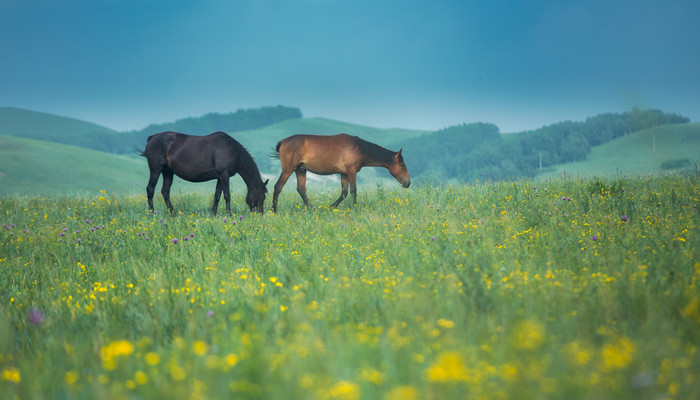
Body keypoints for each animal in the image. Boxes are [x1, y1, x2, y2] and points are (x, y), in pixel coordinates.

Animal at [138, 131, 268, 214]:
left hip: (168, 172)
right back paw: (152, 213)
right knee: (150, 189)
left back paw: (173, 213)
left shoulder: (220, 177)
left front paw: (213, 214)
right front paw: (229, 214)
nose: (260, 214)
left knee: (165, 191)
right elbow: (227, 196)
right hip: (155, 170)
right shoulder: (224, 175)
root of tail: (152, 138)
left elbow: (217, 196)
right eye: (262, 196)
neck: (232, 150)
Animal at [270, 133, 410, 212]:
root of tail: (283, 142)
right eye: (402, 165)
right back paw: (274, 210)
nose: (407, 183)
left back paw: (311, 209)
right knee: (278, 187)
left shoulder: (343, 174)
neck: (359, 148)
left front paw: (330, 207)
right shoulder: (351, 172)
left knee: (301, 189)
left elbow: (344, 192)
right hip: (288, 169)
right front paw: (355, 208)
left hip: (301, 170)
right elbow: (353, 191)